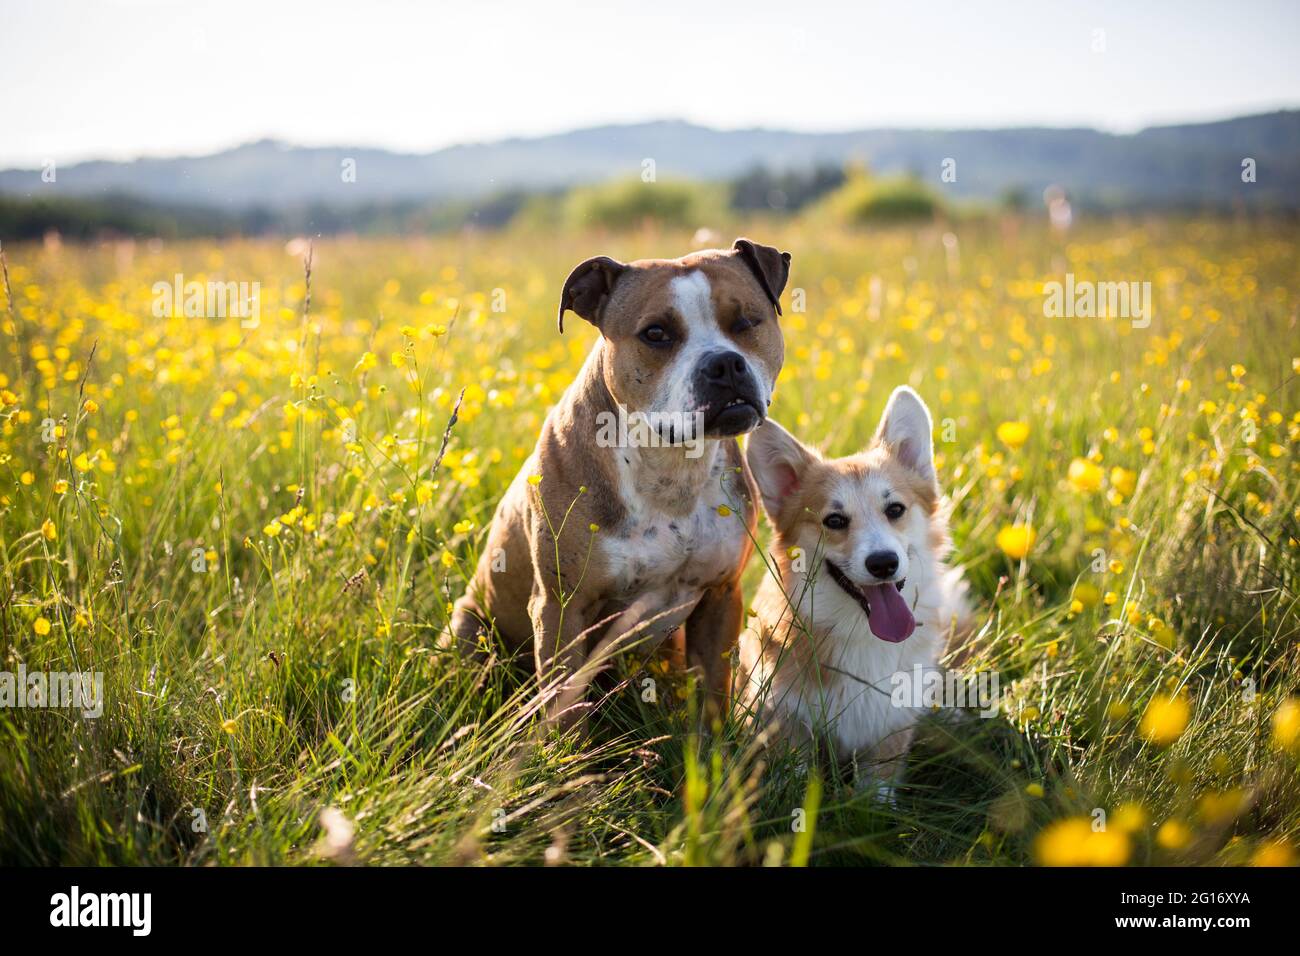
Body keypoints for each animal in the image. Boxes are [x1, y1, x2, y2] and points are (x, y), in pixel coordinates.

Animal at [452, 239, 785, 723]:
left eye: (745, 321)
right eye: (656, 333)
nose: (724, 364)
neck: (670, 467)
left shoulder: (721, 596)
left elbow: (712, 698)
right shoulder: (560, 608)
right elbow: (565, 712)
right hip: (469, 626)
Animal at [738, 385, 972, 796]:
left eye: (895, 510)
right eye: (834, 521)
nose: (883, 564)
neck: (860, 631)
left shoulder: (889, 728)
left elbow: (876, 788)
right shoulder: (785, 718)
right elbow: (793, 775)